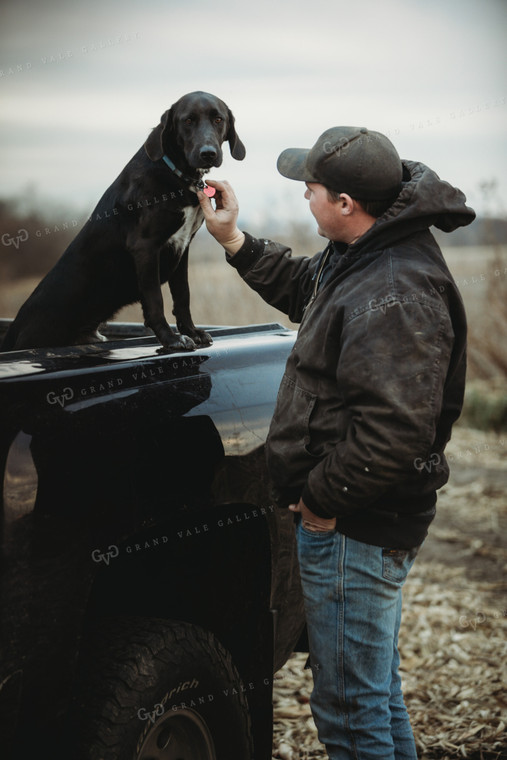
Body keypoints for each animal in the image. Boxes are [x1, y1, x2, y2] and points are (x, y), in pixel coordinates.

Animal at [0, 90, 246, 352]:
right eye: (188, 121)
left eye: (218, 119)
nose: (208, 153)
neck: (177, 174)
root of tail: (13, 331)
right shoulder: (145, 247)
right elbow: (155, 301)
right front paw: (170, 339)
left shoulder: (183, 248)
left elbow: (183, 296)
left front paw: (191, 332)